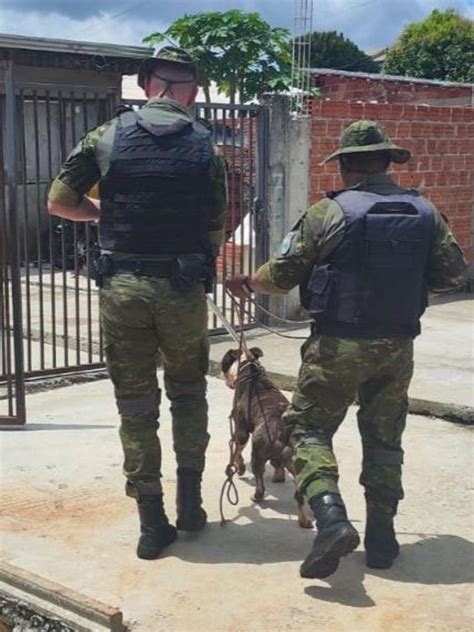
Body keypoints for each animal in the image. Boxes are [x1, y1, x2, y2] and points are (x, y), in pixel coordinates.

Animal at [221, 346, 312, 528]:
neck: (249, 368)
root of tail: (283, 431)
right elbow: (277, 465)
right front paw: (278, 475)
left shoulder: (241, 431)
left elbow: (236, 452)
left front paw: (239, 467)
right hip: (297, 465)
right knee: (299, 494)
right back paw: (304, 520)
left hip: (257, 455)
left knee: (260, 485)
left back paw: (256, 497)